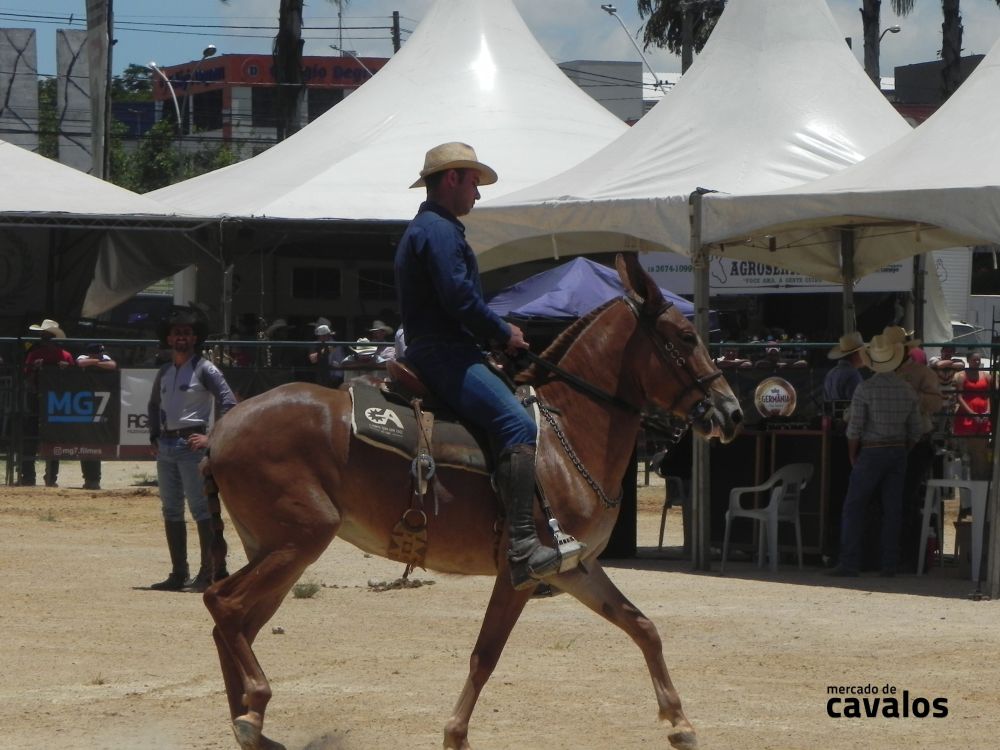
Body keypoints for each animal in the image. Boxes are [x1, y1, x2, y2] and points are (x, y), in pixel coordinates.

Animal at [201, 253, 743, 750]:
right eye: (685, 337)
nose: (732, 412)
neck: (565, 436)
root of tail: (222, 430)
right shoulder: (520, 574)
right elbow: (486, 655)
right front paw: (455, 734)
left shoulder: (575, 569)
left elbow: (643, 626)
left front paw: (680, 724)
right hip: (300, 542)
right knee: (223, 605)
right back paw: (254, 707)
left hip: (277, 550)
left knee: (235, 625)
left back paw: (250, 724)